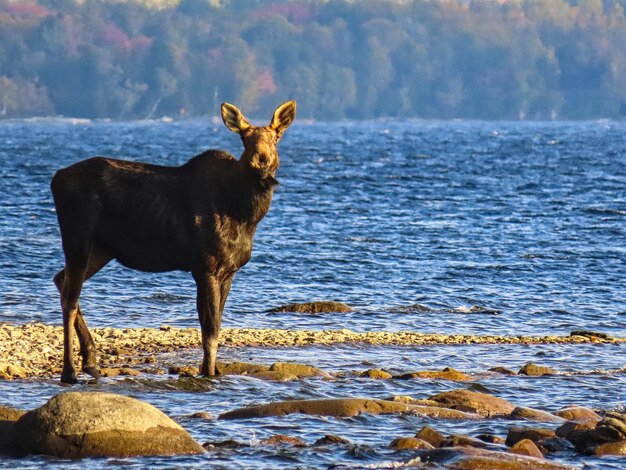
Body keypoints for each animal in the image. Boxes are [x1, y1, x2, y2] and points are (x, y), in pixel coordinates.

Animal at [50, 101, 294, 384]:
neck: (245, 213)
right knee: (70, 299)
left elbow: (214, 325)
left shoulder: (228, 271)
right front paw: (208, 373)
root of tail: (55, 178)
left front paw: (213, 371)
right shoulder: (206, 267)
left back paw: (90, 360)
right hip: (78, 238)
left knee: (60, 279)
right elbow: (210, 328)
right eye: (245, 139)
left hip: (101, 250)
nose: (261, 160)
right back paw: (69, 371)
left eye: (276, 137)